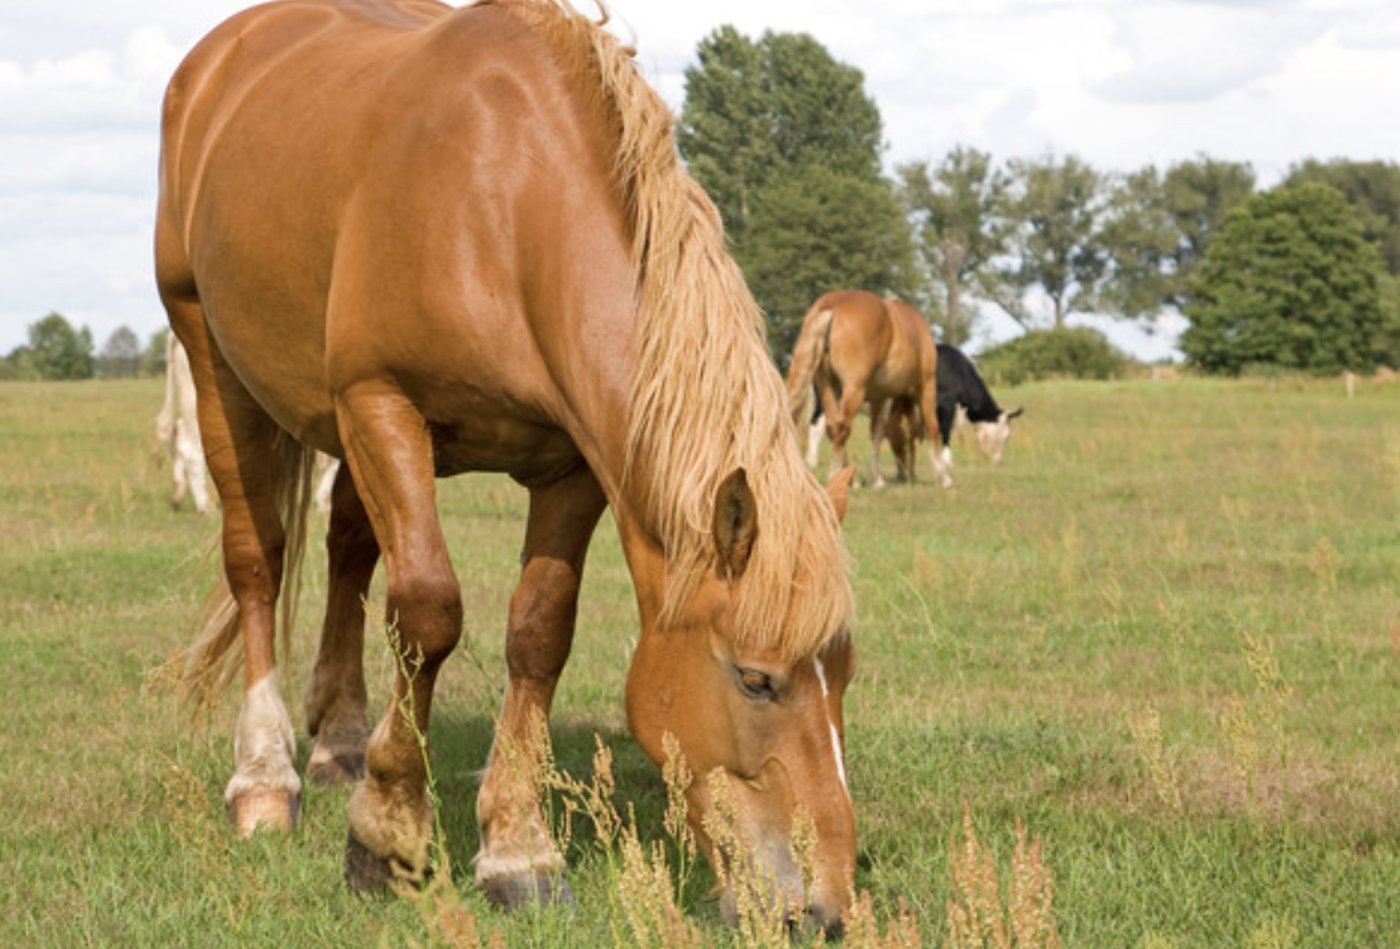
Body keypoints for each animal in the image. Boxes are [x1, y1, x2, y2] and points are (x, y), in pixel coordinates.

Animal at [156, 0, 856, 933]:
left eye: (845, 673)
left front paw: (518, 850)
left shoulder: (572, 466)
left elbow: (539, 632)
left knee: (347, 553)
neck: (505, 206)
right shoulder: (382, 403)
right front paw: (387, 833)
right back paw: (267, 776)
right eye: (756, 679)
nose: (826, 909)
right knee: (258, 559)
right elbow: (427, 614)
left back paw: (340, 738)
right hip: (215, 360)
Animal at [786, 290, 948, 488]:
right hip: (853, 391)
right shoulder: (926, 385)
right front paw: (943, 477)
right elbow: (933, 427)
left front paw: (877, 479)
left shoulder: (880, 398)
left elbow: (876, 434)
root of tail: (833, 305)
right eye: (905, 440)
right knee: (840, 427)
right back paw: (838, 475)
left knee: (832, 427)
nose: (907, 474)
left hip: (827, 387)